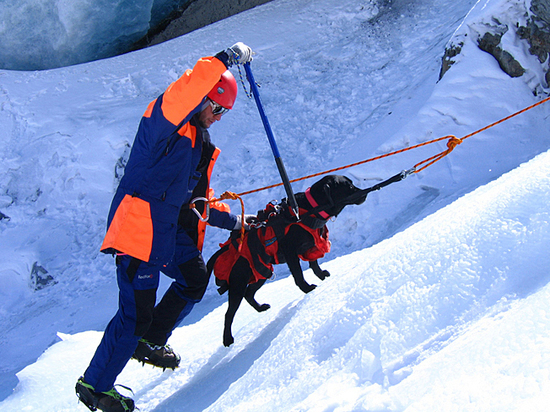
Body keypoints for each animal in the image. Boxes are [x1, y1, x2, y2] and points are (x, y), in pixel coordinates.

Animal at [207, 175, 366, 346]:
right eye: (348, 187)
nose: (364, 193)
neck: (308, 210)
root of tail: (222, 250)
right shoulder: (290, 252)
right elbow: (298, 275)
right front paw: (307, 288)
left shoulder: (310, 247)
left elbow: (314, 264)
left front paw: (321, 275)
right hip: (238, 283)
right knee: (229, 313)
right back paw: (227, 338)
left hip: (261, 272)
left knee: (249, 294)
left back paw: (260, 308)